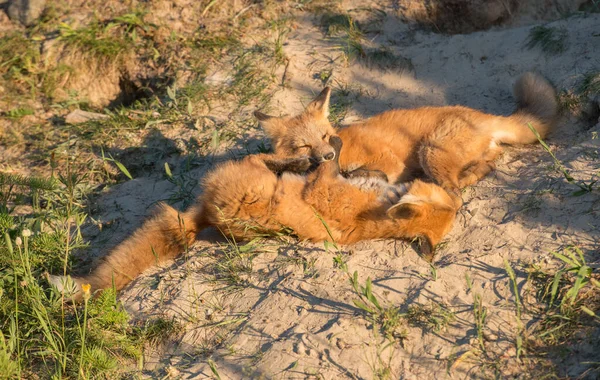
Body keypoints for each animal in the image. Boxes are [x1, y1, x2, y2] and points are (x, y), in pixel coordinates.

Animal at [49, 133, 460, 296]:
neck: (375, 213)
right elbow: (359, 169)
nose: (452, 189)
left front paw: (332, 147)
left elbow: (333, 162)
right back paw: (300, 159)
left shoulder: (323, 189)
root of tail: (206, 218)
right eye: (447, 201)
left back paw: (297, 159)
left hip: (252, 179)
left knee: (267, 160)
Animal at [255, 72, 560, 190]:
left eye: (324, 137)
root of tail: (483, 115)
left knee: (453, 190)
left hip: (430, 151)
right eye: (304, 146)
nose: (328, 155)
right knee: (484, 168)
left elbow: (372, 172)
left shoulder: (389, 160)